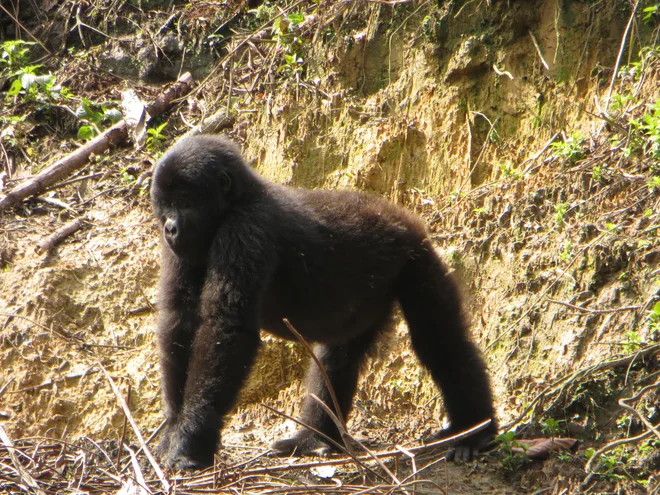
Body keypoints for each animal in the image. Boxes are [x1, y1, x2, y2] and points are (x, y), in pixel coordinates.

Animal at [151, 134, 496, 470]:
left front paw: (191, 440)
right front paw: (174, 429)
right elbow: (179, 321)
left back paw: (475, 431)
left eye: (184, 203)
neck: (238, 197)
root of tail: (404, 215)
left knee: (439, 341)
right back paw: (314, 439)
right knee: (339, 353)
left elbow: (225, 328)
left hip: (417, 257)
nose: (170, 228)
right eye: (165, 206)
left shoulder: (246, 228)